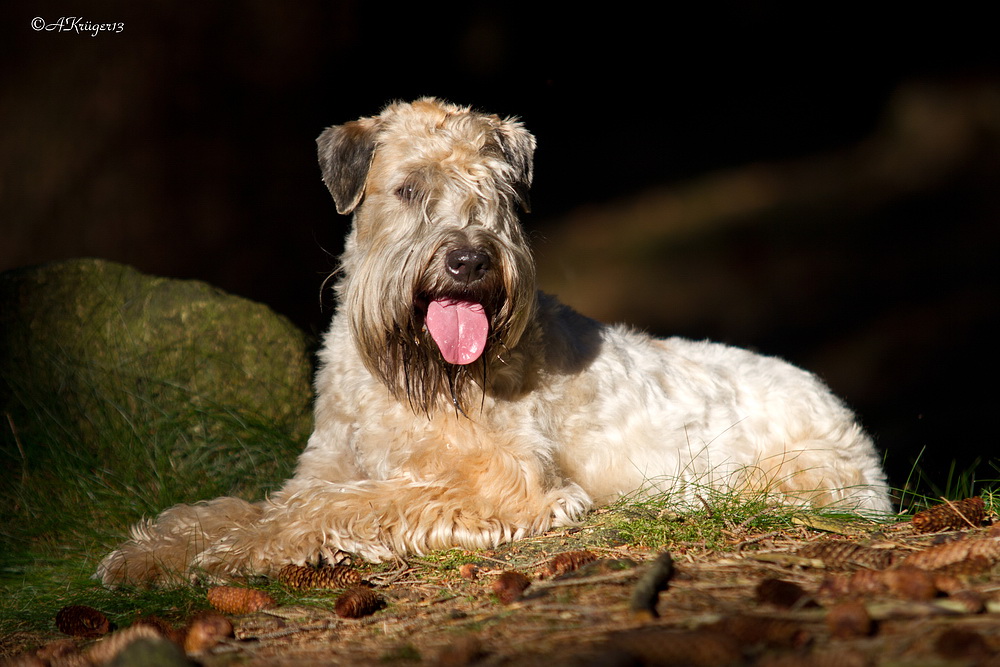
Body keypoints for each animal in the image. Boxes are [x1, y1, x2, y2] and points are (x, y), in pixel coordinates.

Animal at [95, 96, 892, 588]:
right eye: (410, 188)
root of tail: (843, 408)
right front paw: (150, 550)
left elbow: (343, 506)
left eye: (499, 194)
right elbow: (247, 504)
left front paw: (238, 551)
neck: (399, 379)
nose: (471, 260)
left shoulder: (507, 482)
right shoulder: (321, 467)